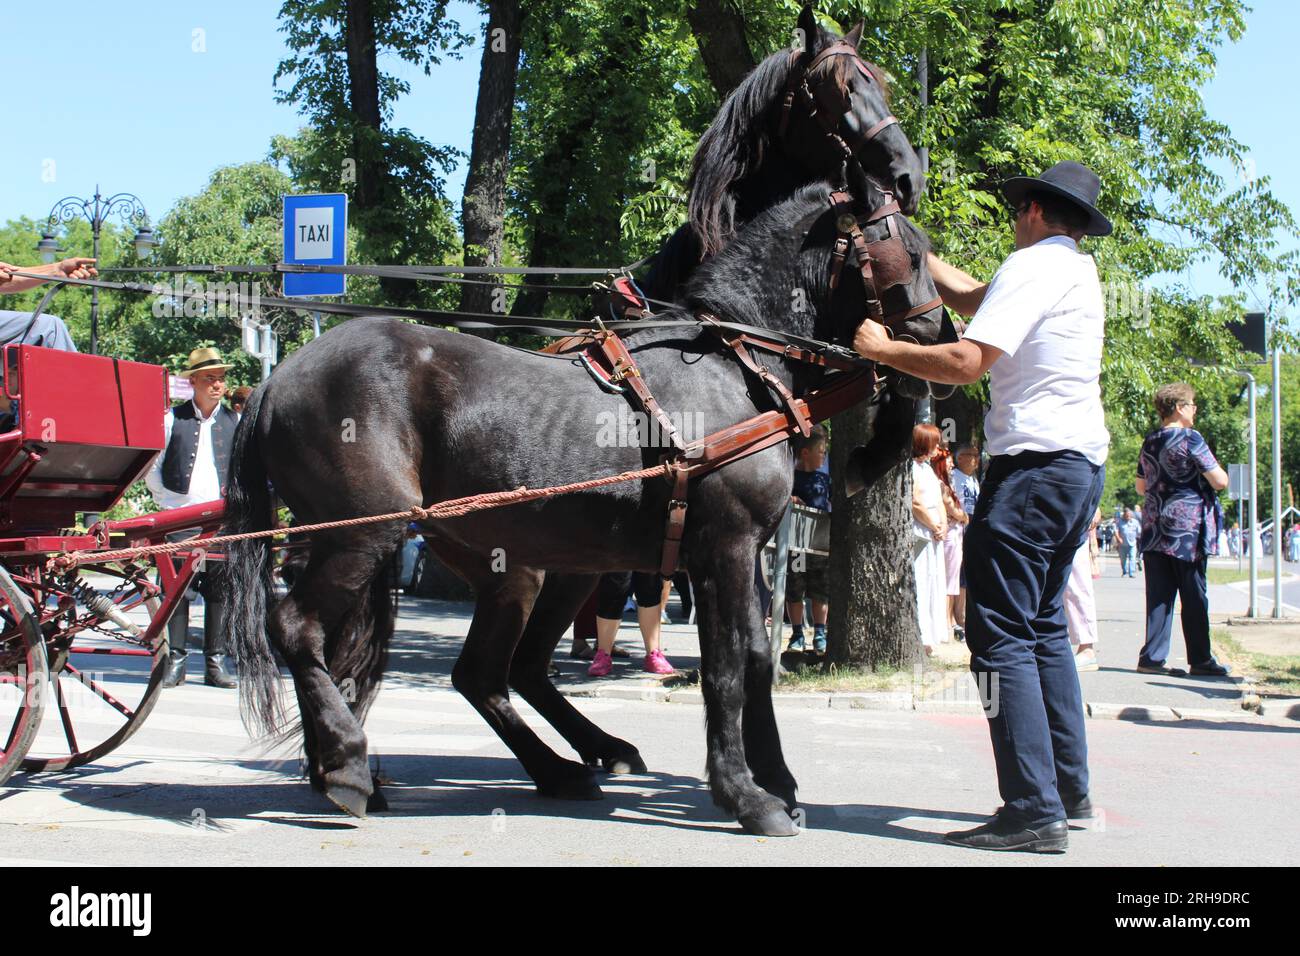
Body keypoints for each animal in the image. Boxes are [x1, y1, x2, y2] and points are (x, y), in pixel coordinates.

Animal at [221, 175, 944, 837]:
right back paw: (346, 764)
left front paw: (779, 781)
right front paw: (747, 796)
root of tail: (275, 380)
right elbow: (725, 671)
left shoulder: (750, 555)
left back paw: (552, 766)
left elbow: (757, 661)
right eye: (907, 250)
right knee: (299, 629)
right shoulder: (725, 549)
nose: (939, 333)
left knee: (486, 672)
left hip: (520, 568)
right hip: (363, 537)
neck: (731, 365)